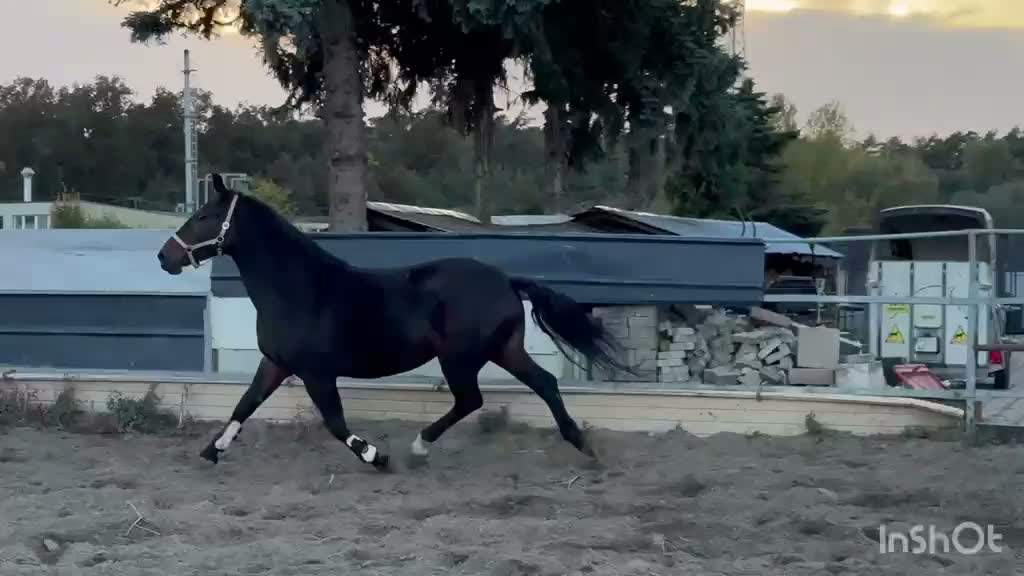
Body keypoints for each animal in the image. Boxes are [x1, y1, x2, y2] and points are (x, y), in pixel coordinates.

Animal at [157, 174, 634, 471]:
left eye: (203, 217)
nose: (165, 257)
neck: (298, 288)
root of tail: (504, 280)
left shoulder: (316, 372)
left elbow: (335, 423)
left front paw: (377, 457)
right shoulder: (276, 363)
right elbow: (244, 405)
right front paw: (211, 451)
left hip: (460, 357)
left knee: (471, 400)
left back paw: (419, 448)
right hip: (504, 350)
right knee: (543, 384)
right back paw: (584, 446)